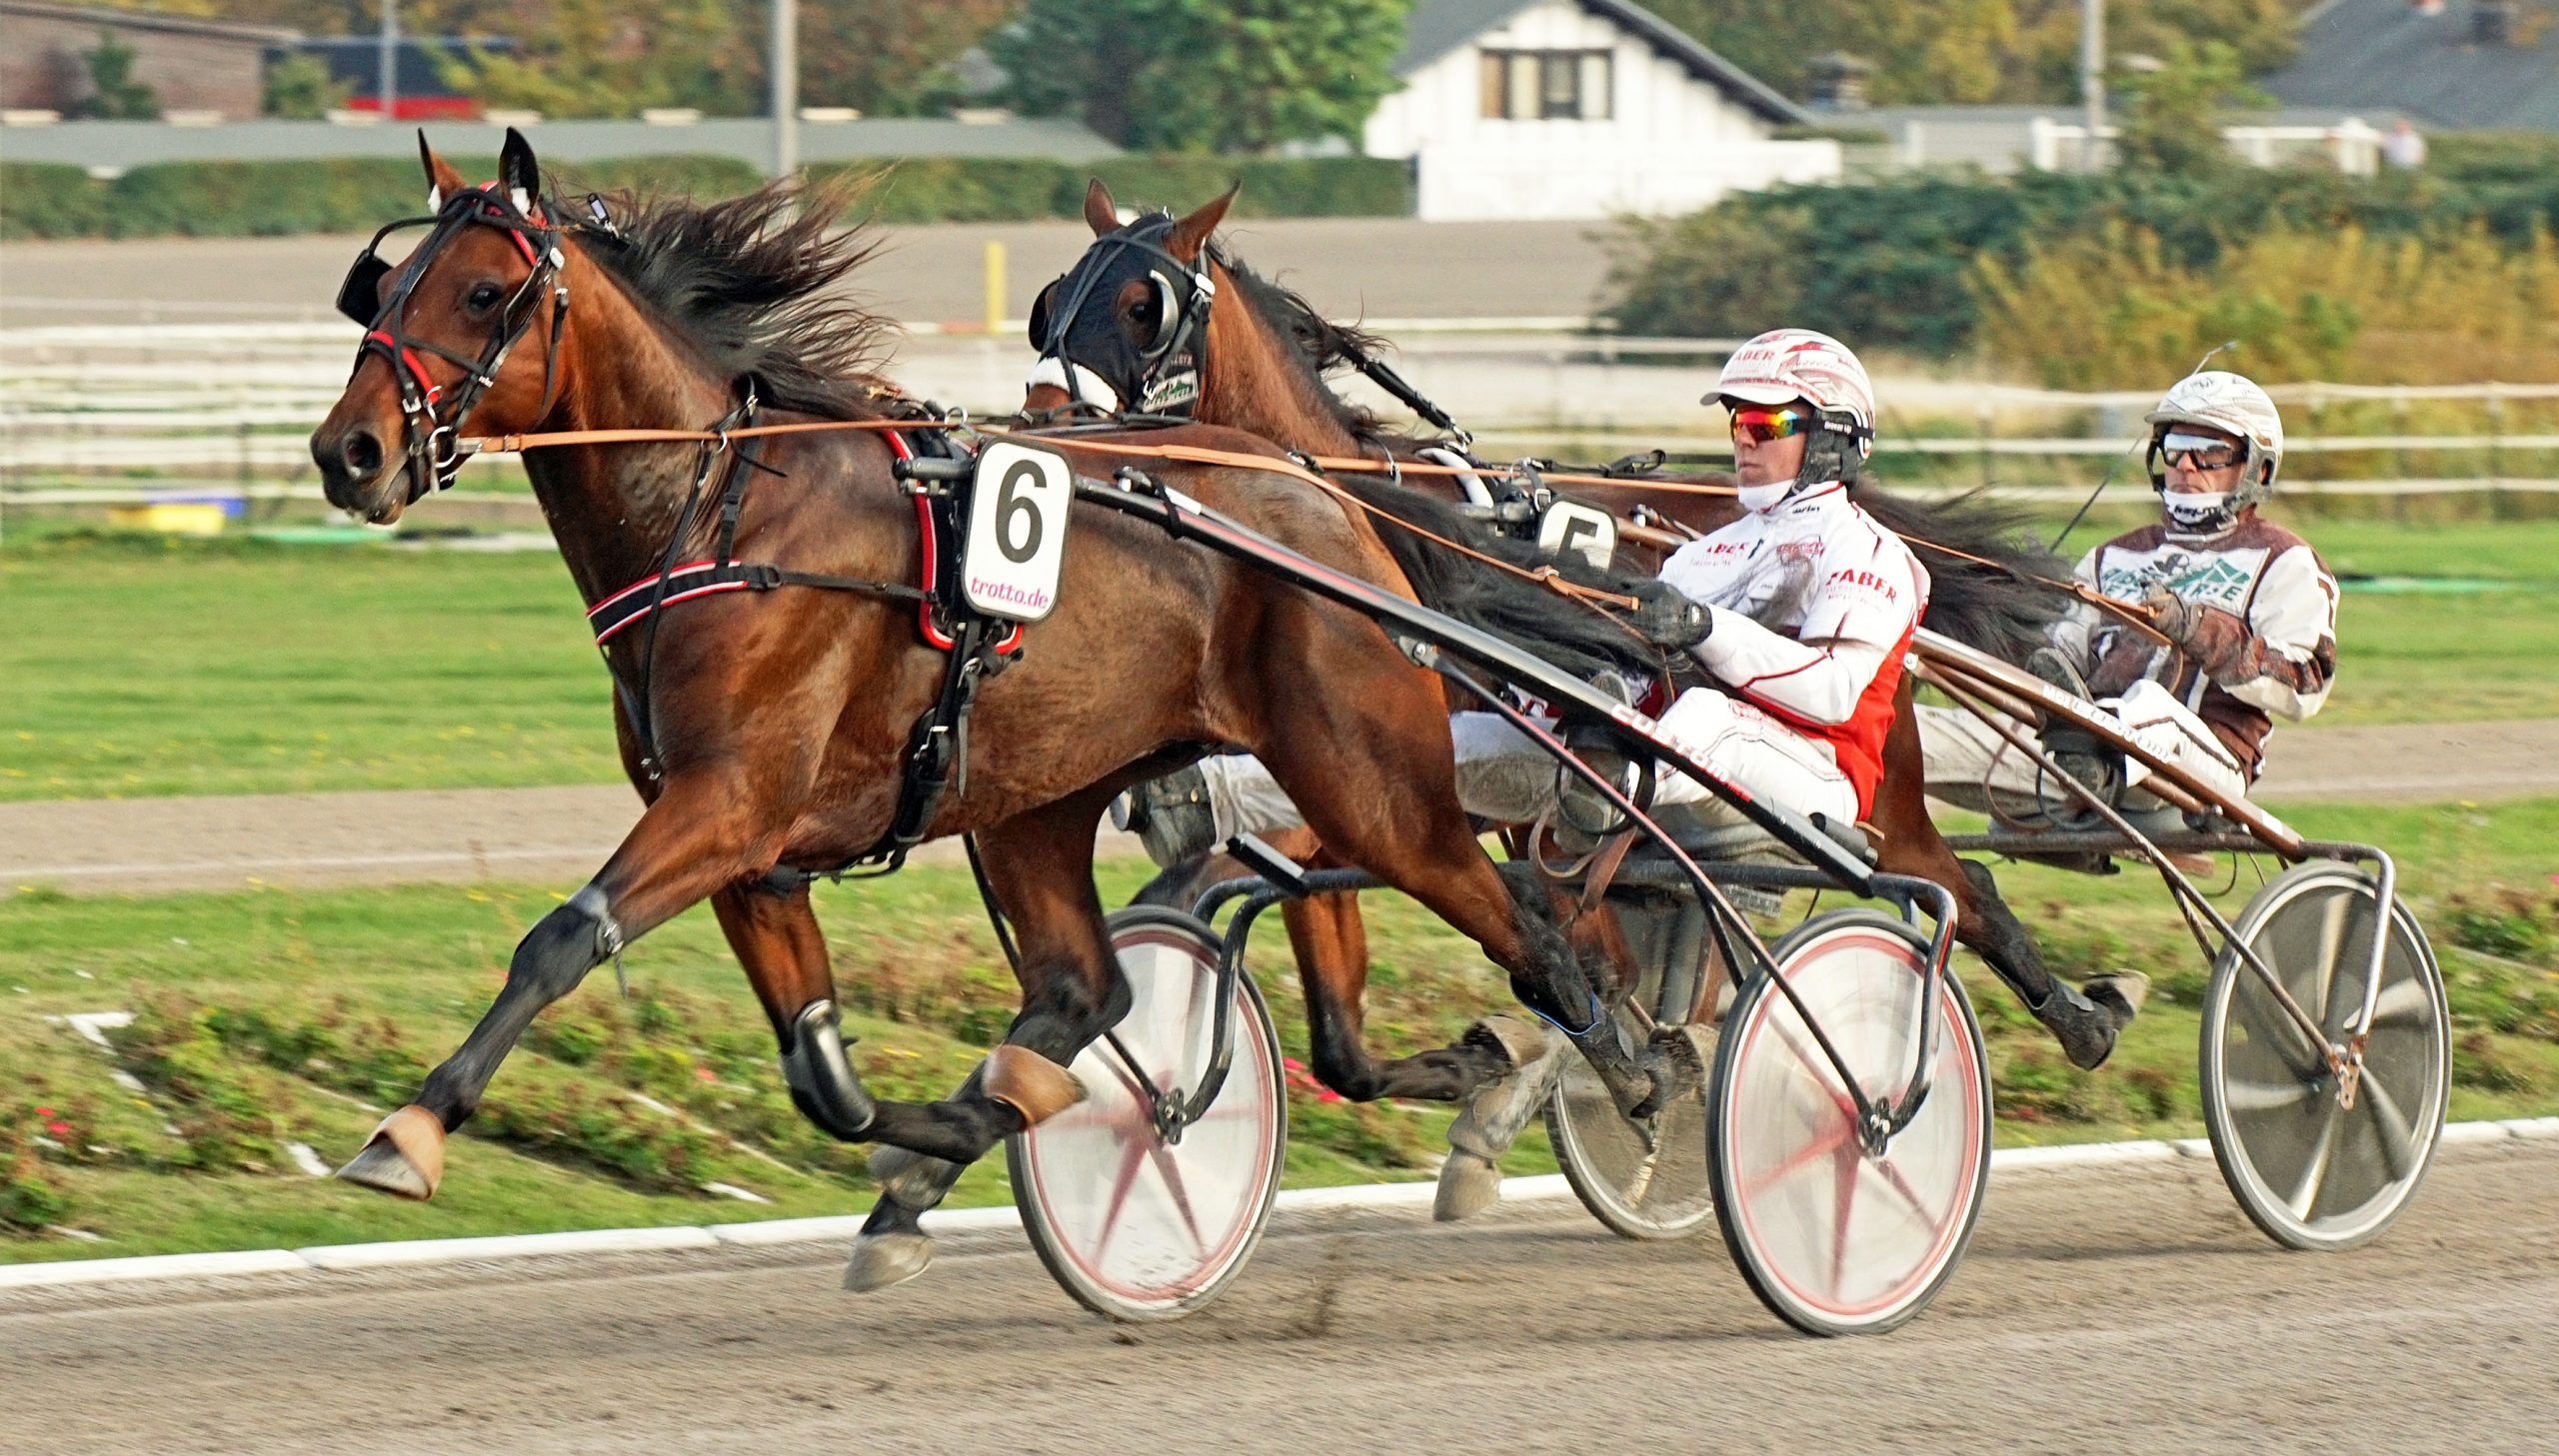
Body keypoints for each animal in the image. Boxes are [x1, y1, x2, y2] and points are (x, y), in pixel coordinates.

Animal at [306, 131, 1716, 1289]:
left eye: (483, 293)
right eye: (382, 286)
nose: (348, 451)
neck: (725, 514)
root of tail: (1326, 500)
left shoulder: (730, 803)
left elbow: (562, 937)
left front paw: (409, 1128)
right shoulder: (754, 853)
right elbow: (823, 1075)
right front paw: (939, 1144)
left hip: (1369, 781)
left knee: (1541, 933)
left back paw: (1633, 1072)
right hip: (1035, 799)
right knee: (1091, 988)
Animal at [1020, 182, 2137, 1212]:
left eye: (1142, 305)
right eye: (1049, 301)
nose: (1039, 423)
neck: (1345, 526)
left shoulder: (1401, 788)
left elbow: (1565, 960)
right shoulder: (1342, 794)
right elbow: (1341, 1021)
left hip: (1862, 789)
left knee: (1962, 888)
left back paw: (2077, 1018)